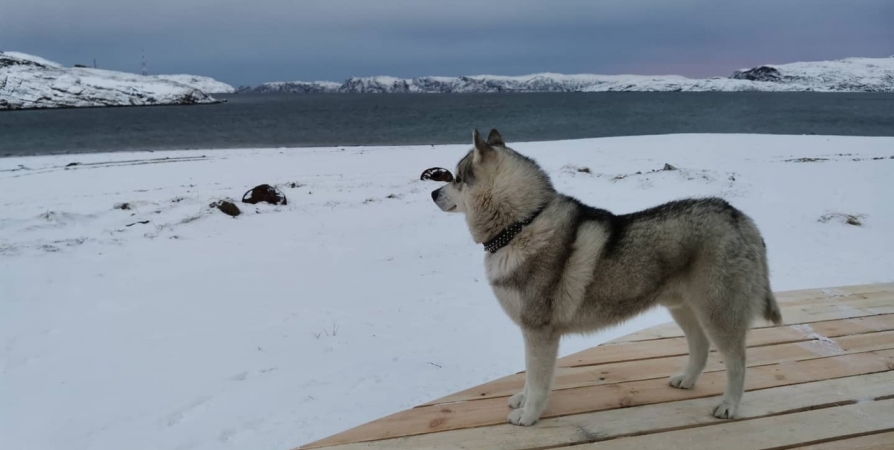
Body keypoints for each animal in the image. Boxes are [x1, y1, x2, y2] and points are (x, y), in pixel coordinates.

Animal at [430, 129, 780, 426]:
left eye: (457, 178)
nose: (433, 192)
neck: (521, 225)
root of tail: (740, 217)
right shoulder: (532, 332)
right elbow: (529, 375)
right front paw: (523, 400)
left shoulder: (539, 332)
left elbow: (538, 379)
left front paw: (529, 415)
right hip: (683, 308)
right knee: (701, 346)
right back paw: (687, 380)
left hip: (717, 313)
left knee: (737, 361)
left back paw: (730, 405)